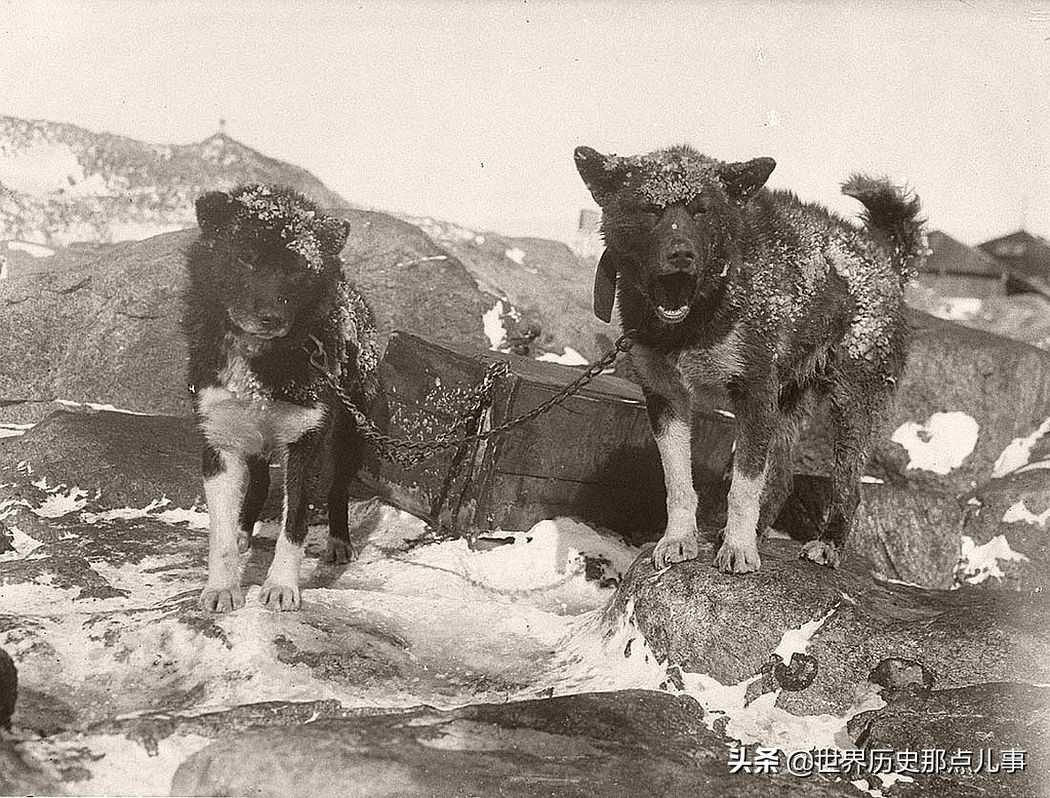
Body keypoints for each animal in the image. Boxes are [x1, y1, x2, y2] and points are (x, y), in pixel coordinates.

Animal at [184, 185, 382, 609]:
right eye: (244, 256)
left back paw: (338, 542)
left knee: (337, 490)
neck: (261, 362)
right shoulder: (219, 440)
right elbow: (219, 536)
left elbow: (295, 528)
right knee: (257, 484)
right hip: (254, 441)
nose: (270, 318)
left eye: (297, 269)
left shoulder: (304, 444)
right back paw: (244, 530)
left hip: (349, 435)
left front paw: (280, 586)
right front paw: (223, 587)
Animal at [575, 144, 928, 575]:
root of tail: (885, 259)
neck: (700, 314)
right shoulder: (665, 399)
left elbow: (743, 488)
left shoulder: (754, 397)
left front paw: (738, 548)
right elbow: (679, 484)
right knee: (781, 480)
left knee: (847, 487)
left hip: (850, 407)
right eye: (650, 208)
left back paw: (827, 544)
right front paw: (679, 539)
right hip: (788, 404)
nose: (681, 254)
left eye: (702, 210)